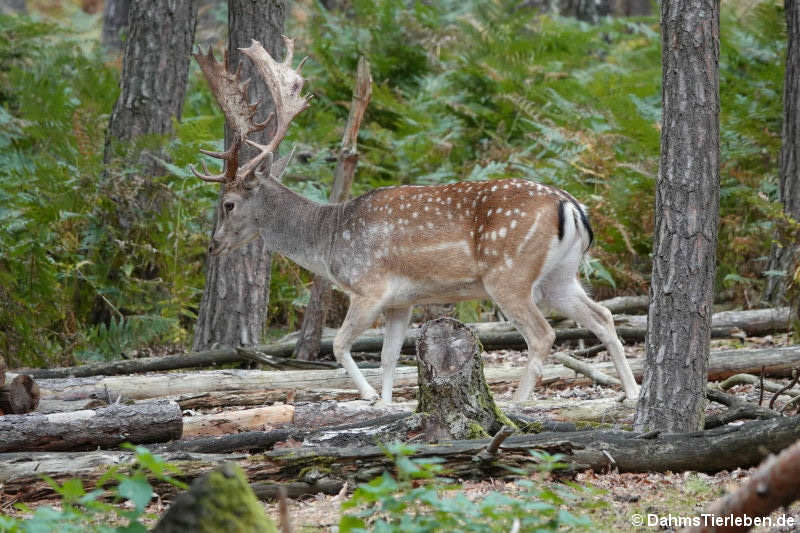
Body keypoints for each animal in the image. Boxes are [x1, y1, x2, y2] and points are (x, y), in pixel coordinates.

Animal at [191, 37, 640, 404]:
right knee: (602, 317)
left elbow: (338, 346)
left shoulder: (369, 287)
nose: (214, 243)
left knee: (543, 333)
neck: (329, 241)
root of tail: (572, 206)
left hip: (508, 273)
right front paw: (390, 404)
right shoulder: (401, 301)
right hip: (559, 276)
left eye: (227, 203)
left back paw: (518, 403)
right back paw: (633, 392)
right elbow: (390, 357)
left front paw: (371, 397)